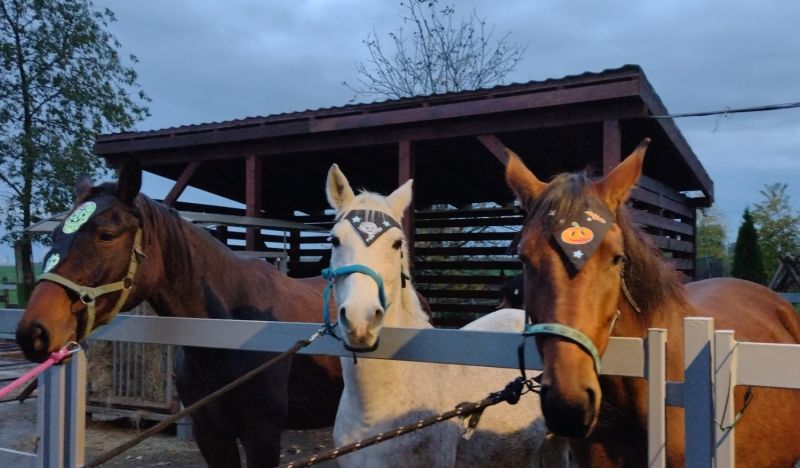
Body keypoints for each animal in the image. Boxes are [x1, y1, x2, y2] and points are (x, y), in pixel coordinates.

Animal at [14, 163, 342, 466]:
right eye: (55, 234)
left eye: (106, 235)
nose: (34, 331)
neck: (233, 334)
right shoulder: (211, 434)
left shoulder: (262, 436)